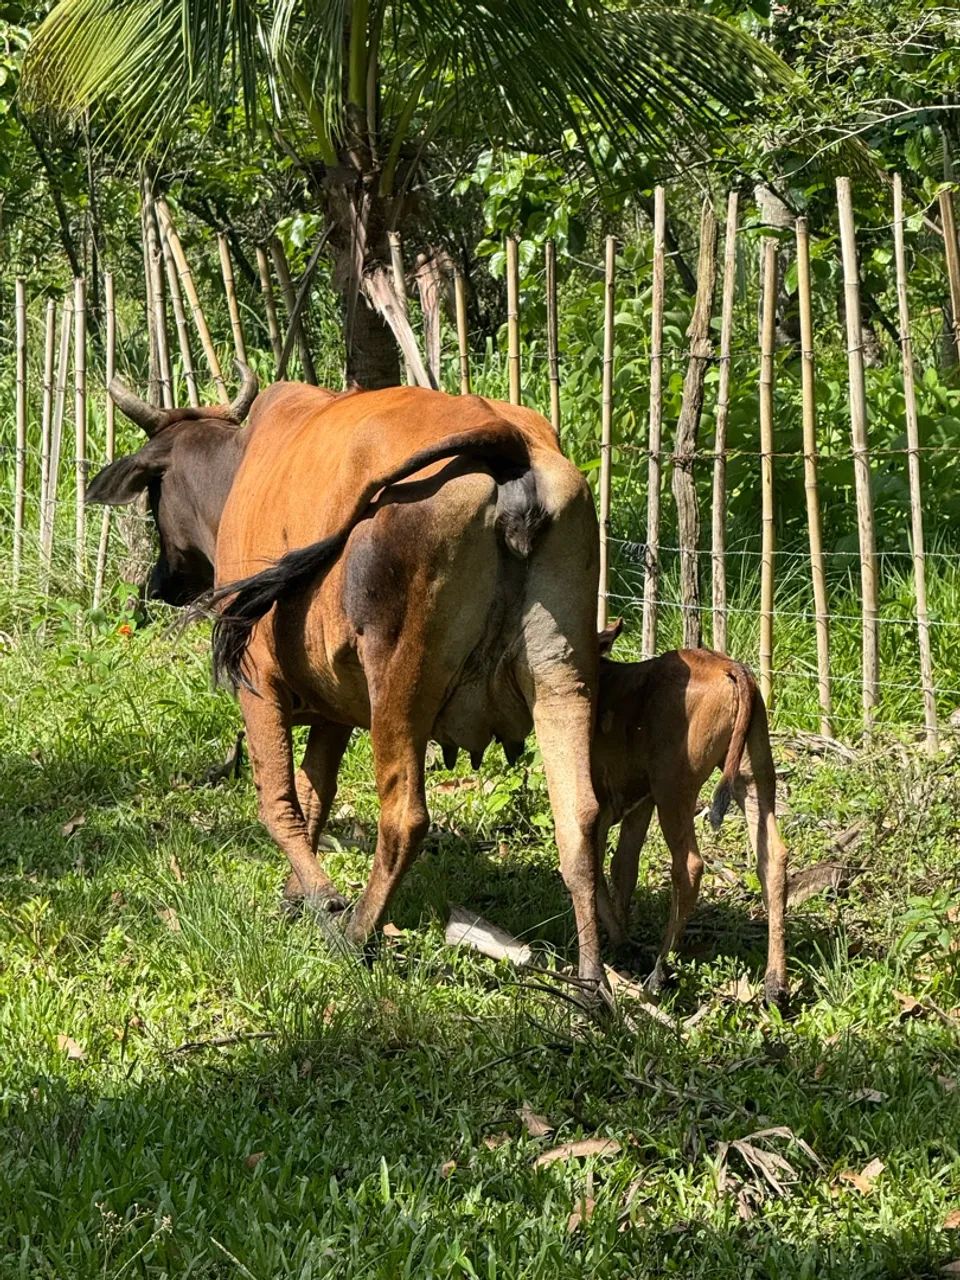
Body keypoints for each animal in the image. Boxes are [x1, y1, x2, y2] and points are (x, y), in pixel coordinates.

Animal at [87, 374, 606, 985]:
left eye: (154, 499)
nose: (159, 582)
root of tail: (509, 444)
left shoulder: (256, 683)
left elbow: (280, 803)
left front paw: (321, 896)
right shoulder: (333, 709)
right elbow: (315, 796)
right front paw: (296, 896)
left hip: (399, 677)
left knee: (404, 818)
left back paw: (357, 933)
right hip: (561, 674)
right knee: (580, 820)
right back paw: (593, 981)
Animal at [590, 622, 789, 1007]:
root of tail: (732, 668)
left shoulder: (601, 805)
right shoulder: (639, 803)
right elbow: (623, 869)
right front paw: (623, 941)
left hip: (674, 786)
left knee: (690, 865)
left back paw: (659, 971)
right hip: (753, 775)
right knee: (773, 857)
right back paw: (775, 983)